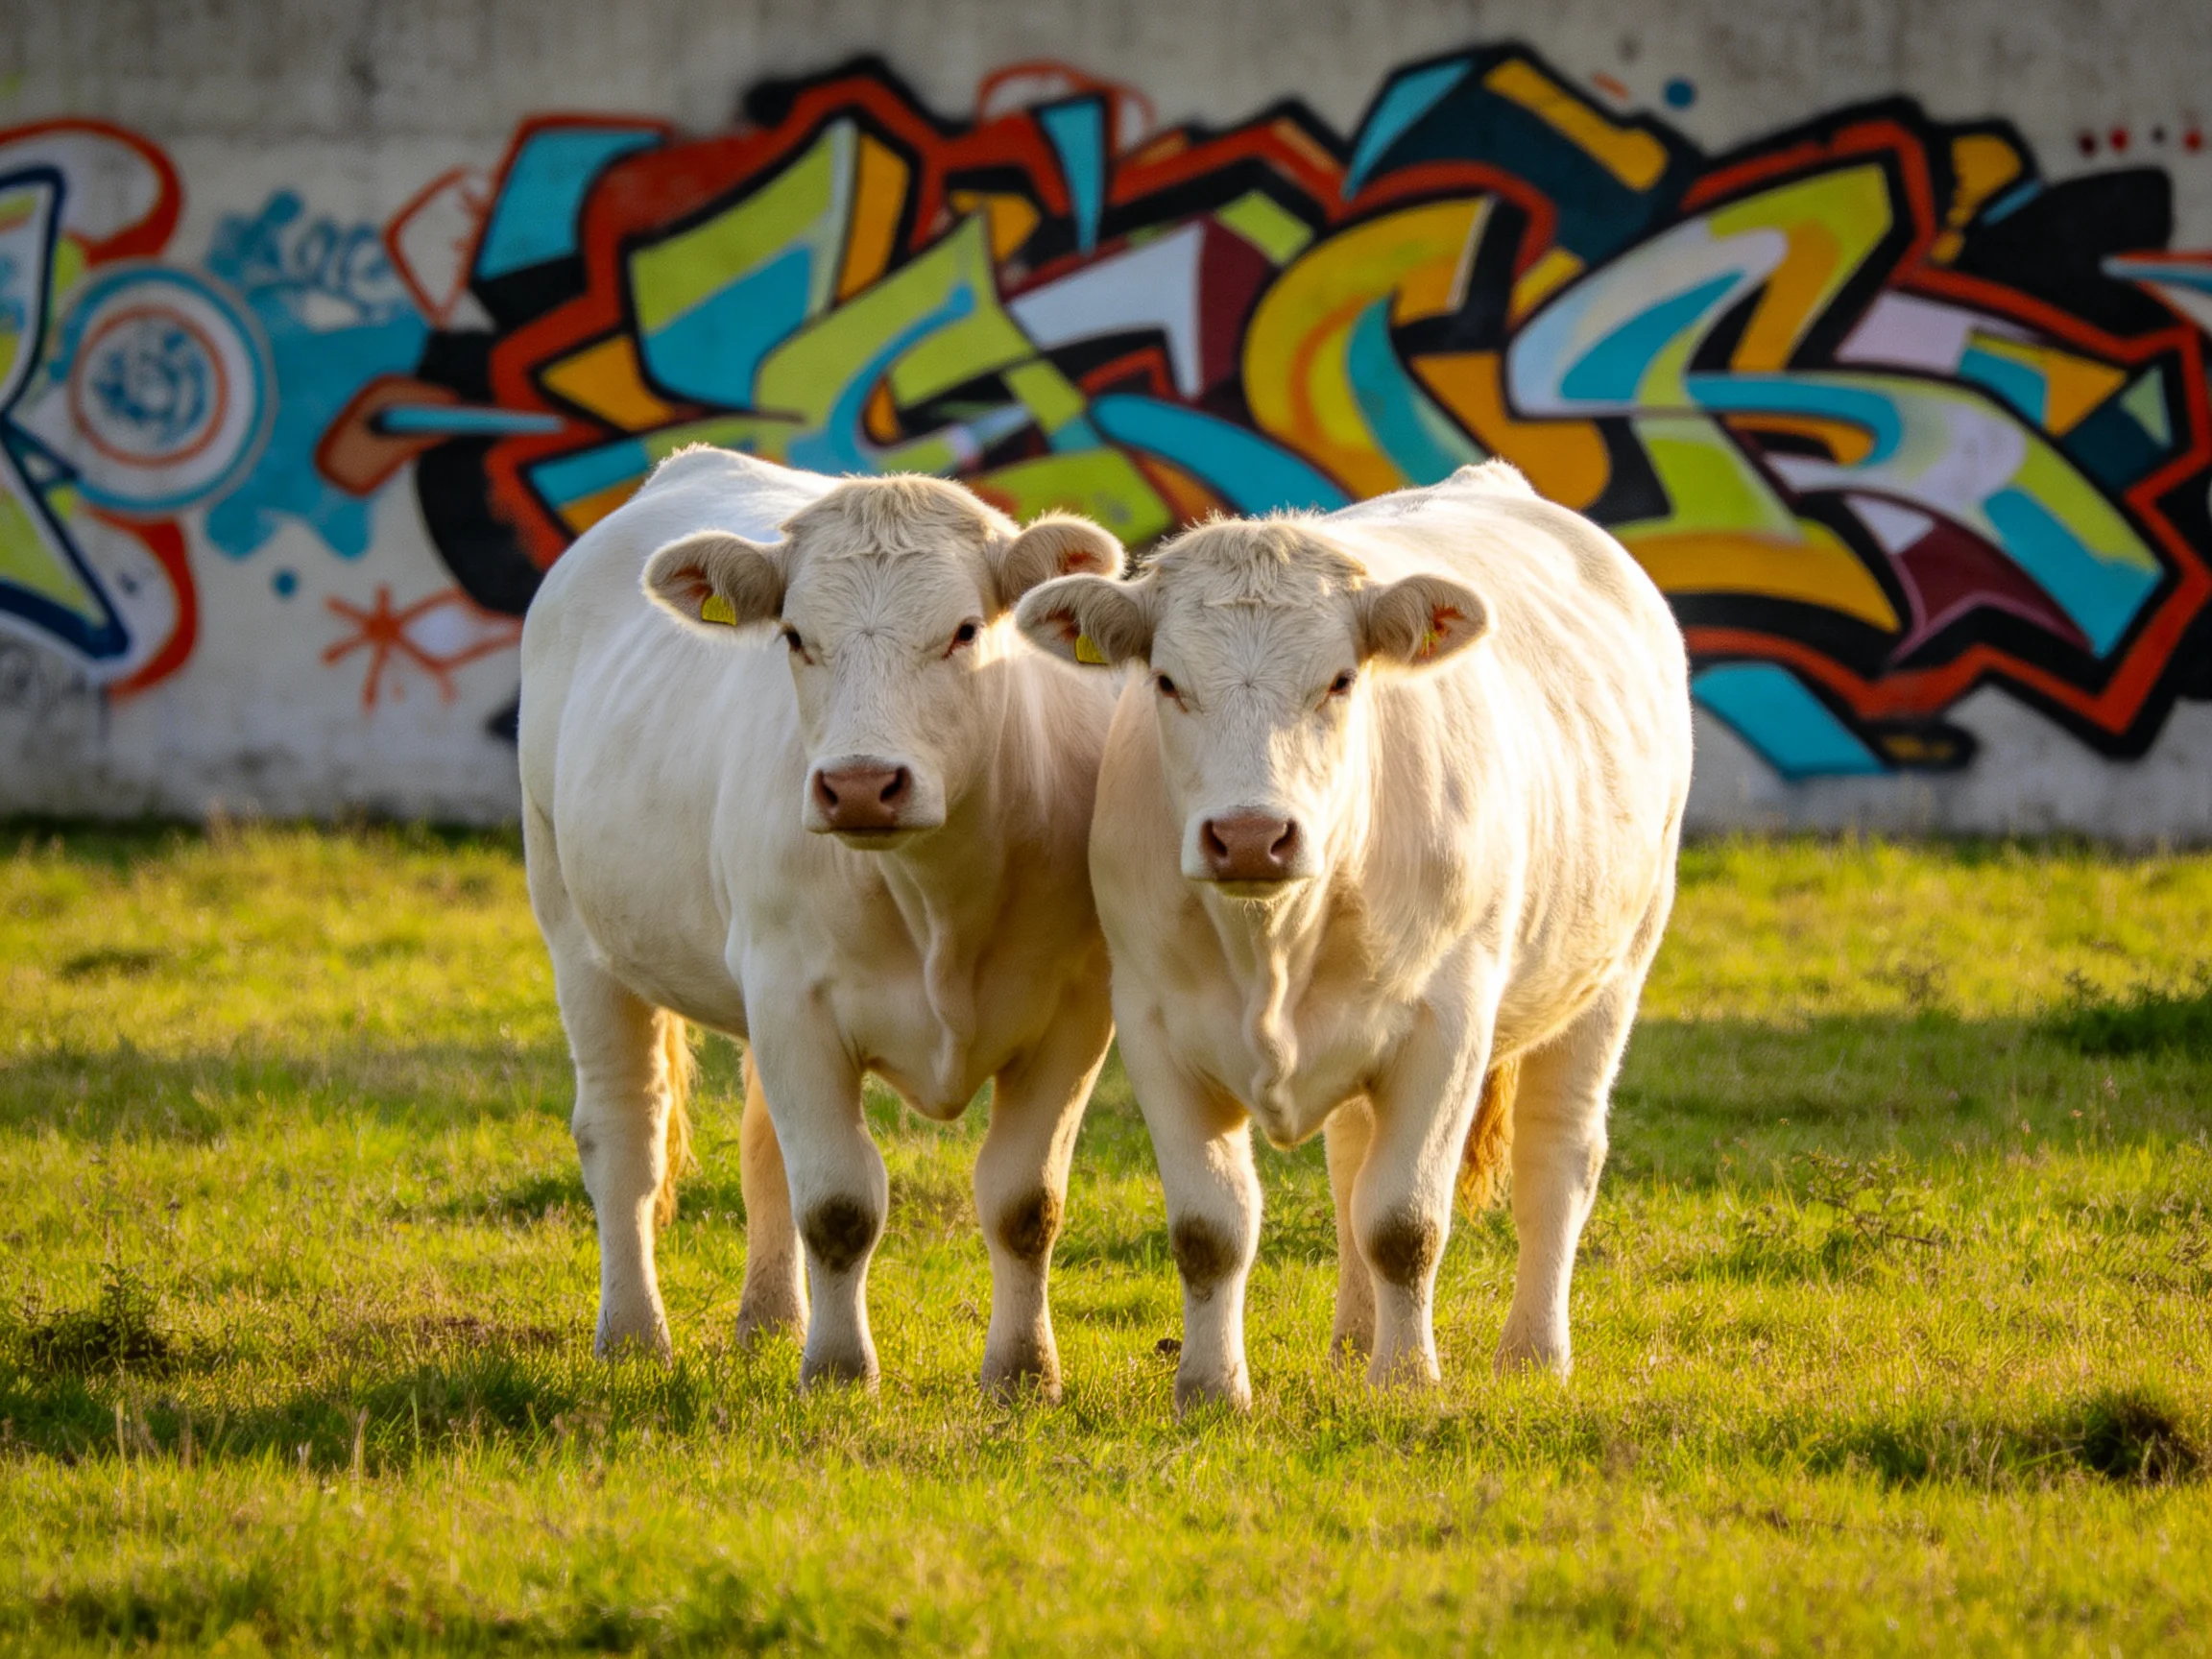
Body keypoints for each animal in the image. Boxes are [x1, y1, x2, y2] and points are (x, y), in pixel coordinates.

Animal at [520, 446, 1122, 1397]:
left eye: (964, 631)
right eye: (796, 637)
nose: (861, 784)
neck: (936, 897)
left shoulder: (1074, 1012)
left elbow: (1026, 1203)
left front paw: (1023, 1375)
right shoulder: (794, 1000)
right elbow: (839, 1204)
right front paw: (839, 1372)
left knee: (762, 1145)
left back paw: (770, 1319)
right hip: (578, 933)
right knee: (625, 1134)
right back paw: (634, 1335)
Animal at [1016, 461, 1692, 1410]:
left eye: (1339, 680)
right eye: (1167, 682)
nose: (1251, 835)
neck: (1271, 942)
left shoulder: (1447, 1027)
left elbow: (1404, 1223)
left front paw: (1407, 1379)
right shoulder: (1153, 1025)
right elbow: (1211, 1228)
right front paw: (1211, 1390)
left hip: (1613, 971)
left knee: (1557, 1160)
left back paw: (1533, 1353)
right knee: (1351, 1166)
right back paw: (1351, 1342)